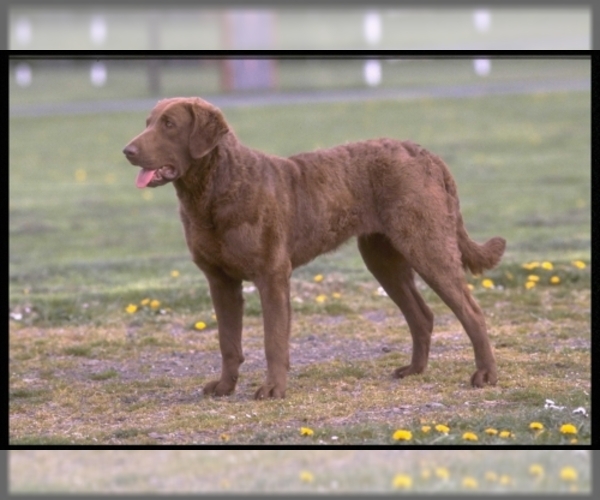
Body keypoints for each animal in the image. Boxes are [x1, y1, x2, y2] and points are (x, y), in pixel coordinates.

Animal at [123, 96, 506, 398]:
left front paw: (273, 389)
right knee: (422, 315)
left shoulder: (272, 274)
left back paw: (485, 375)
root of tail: (423, 153)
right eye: (148, 123)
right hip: (382, 257)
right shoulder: (219, 280)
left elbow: (274, 340)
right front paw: (224, 387)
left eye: (169, 124)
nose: (127, 151)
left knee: (471, 311)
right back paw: (414, 370)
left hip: (426, 244)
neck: (217, 190)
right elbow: (228, 342)